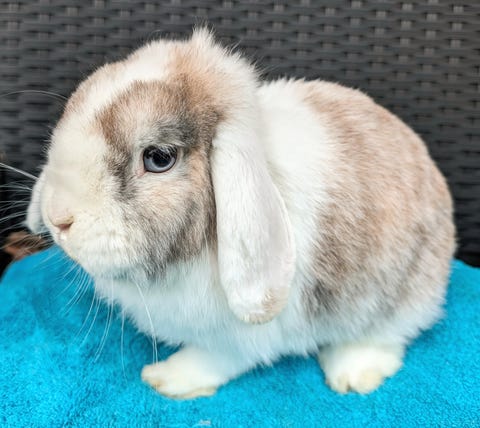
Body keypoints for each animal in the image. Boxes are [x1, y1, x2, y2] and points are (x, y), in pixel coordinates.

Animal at [26, 29, 455, 399]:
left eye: (159, 158)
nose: (58, 219)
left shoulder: (236, 340)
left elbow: (215, 359)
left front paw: (167, 379)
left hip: (397, 295)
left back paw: (353, 374)